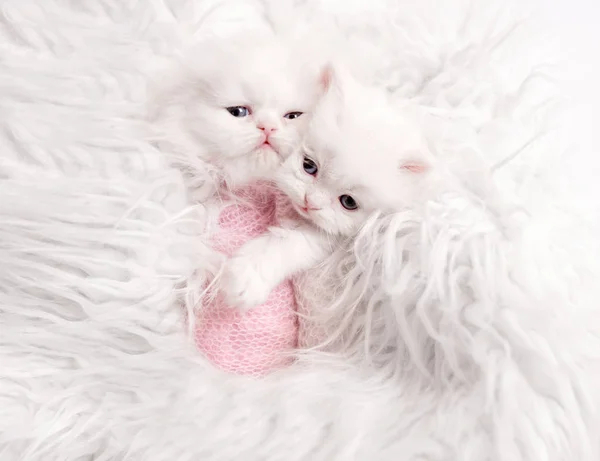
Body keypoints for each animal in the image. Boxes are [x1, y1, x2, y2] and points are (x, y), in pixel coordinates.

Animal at [220, 66, 432, 308]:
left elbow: (286, 246)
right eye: (309, 166)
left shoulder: (325, 236)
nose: (310, 202)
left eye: (348, 202)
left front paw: (244, 277)